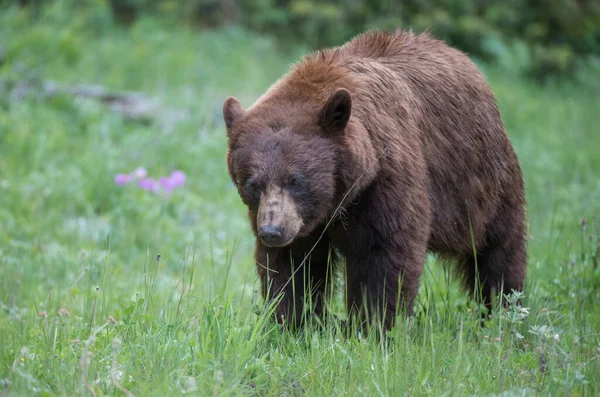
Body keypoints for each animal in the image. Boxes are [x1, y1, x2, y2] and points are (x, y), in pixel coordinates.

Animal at [221, 28, 524, 332]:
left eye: (296, 179)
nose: (272, 231)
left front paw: (374, 326)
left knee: (500, 251)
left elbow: (384, 256)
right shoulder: (296, 221)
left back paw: (503, 311)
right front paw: (290, 321)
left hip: (484, 182)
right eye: (252, 183)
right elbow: (293, 266)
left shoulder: (385, 182)